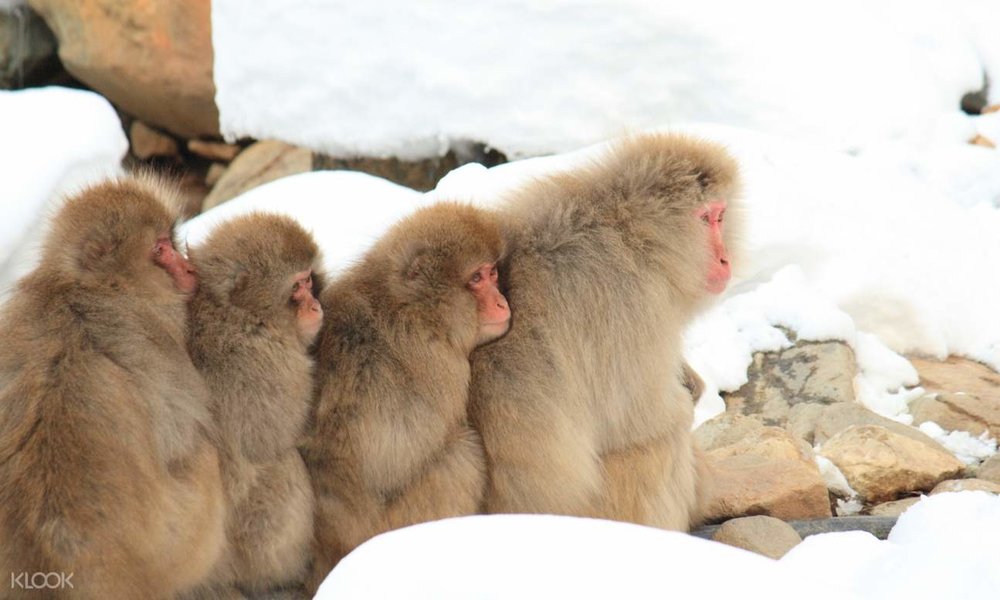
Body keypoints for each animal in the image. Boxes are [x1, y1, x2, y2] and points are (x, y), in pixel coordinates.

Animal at [184, 214, 323, 598]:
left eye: (309, 280)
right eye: (298, 286)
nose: (316, 306)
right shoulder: (259, 358)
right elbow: (267, 437)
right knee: (282, 466)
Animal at [302, 202, 510, 589]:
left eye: (492, 273)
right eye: (476, 279)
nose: (503, 302)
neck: (418, 309)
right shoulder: (440, 364)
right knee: (463, 455)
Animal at [469, 133, 742, 531]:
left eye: (721, 216)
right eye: (705, 218)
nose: (725, 260)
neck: (633, 236)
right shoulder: (628, 299)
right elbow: (640, 418)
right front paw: (683, 398)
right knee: (662, 442)